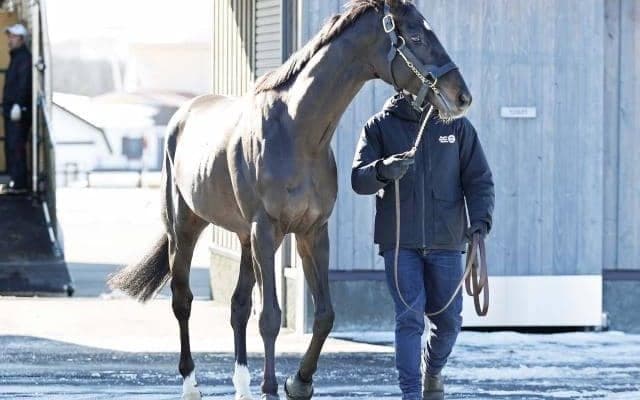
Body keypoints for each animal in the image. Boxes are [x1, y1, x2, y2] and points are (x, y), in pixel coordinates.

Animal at [108, 0, 471, 399]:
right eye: (417, 37)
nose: (461, 97)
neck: (297, 133)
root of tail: (183, 115)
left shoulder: (312, 232)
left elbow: (324, 314)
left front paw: (299, 382)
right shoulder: (267, 231)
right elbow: (270, 317)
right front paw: (271, 387)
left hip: (244, 237)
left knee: (238, 306)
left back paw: (242, 386)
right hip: (185, 229)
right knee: (182, 300)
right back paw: (191, 384)